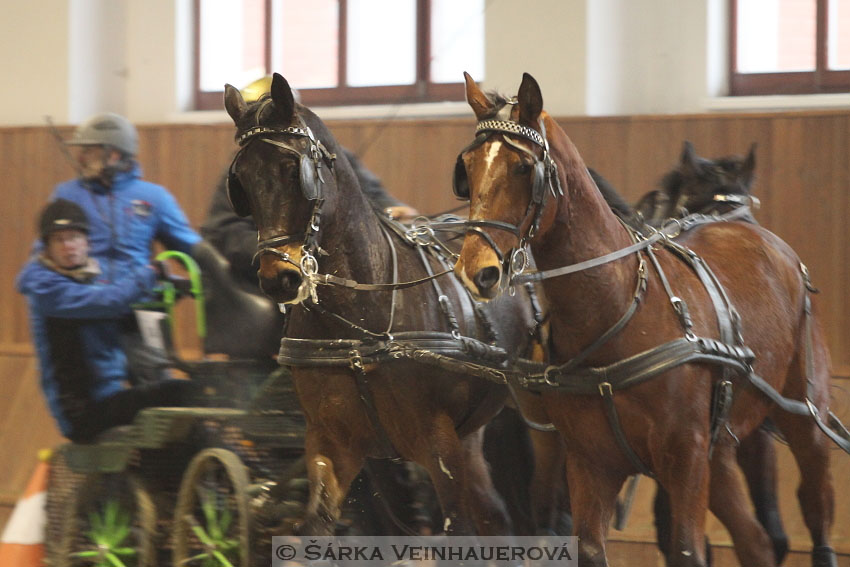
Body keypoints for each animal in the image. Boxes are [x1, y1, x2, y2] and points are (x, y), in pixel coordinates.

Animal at [454, 72, 840, 567]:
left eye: (523, 168)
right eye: (467, 168)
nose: (477, 270)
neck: (616, 310)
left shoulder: (685, 457)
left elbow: (687, 550)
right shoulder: (590, 463)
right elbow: (591, 549)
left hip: (803, 419)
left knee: (816, 513)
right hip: (721, 448)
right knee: (754, 541)